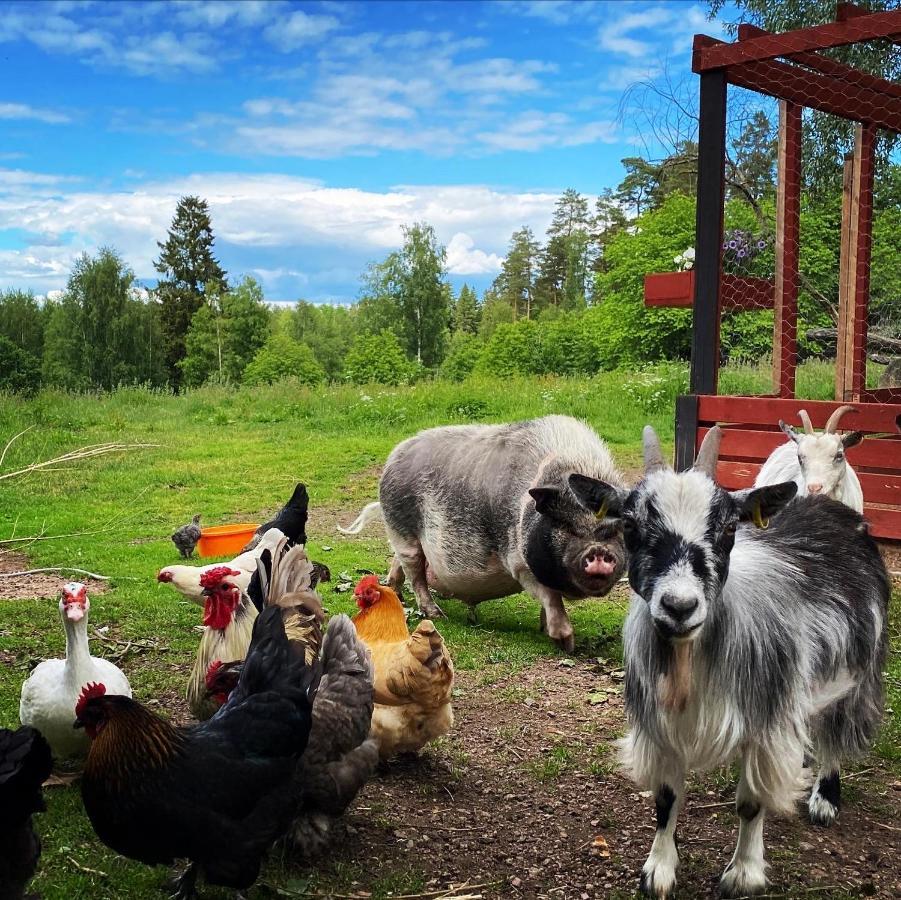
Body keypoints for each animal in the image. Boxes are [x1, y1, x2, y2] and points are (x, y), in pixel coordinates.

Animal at [338, 412, 624, 652]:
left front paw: (544, 629)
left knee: (398, 565)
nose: (598, 551)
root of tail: (393, 457)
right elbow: (551, 598)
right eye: (565, 525)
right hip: (402, 530)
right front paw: (567, 644)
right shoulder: (519, 564)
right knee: (415, 574)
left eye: (617, 528)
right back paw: (436, 614)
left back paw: (394, 593)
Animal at [568, 430, 884, 900]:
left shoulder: (765, 722)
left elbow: (751, 803)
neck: (691, 658)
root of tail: (829, 505)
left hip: (860, 666)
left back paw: (825, 798)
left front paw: (743, 874)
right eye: (630, 526)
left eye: (730, 527)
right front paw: (658, 870)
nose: (679, 606)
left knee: (836, 732)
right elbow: (665, 798)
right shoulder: (660, 725)